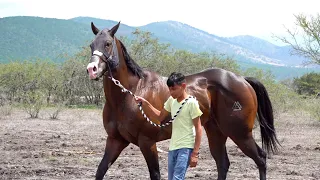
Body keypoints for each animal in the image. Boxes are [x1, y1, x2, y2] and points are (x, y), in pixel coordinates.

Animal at [86, 21, 278, 179]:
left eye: (108, 44)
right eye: (91, 45)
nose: (92, 69)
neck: (131, 92)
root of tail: (242, 80)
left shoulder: (147, 142)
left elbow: (155, 174)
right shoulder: (115, 141)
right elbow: (100, 171)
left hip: (240, 133)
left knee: (260, 159)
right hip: (216, 132)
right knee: (223, 163)